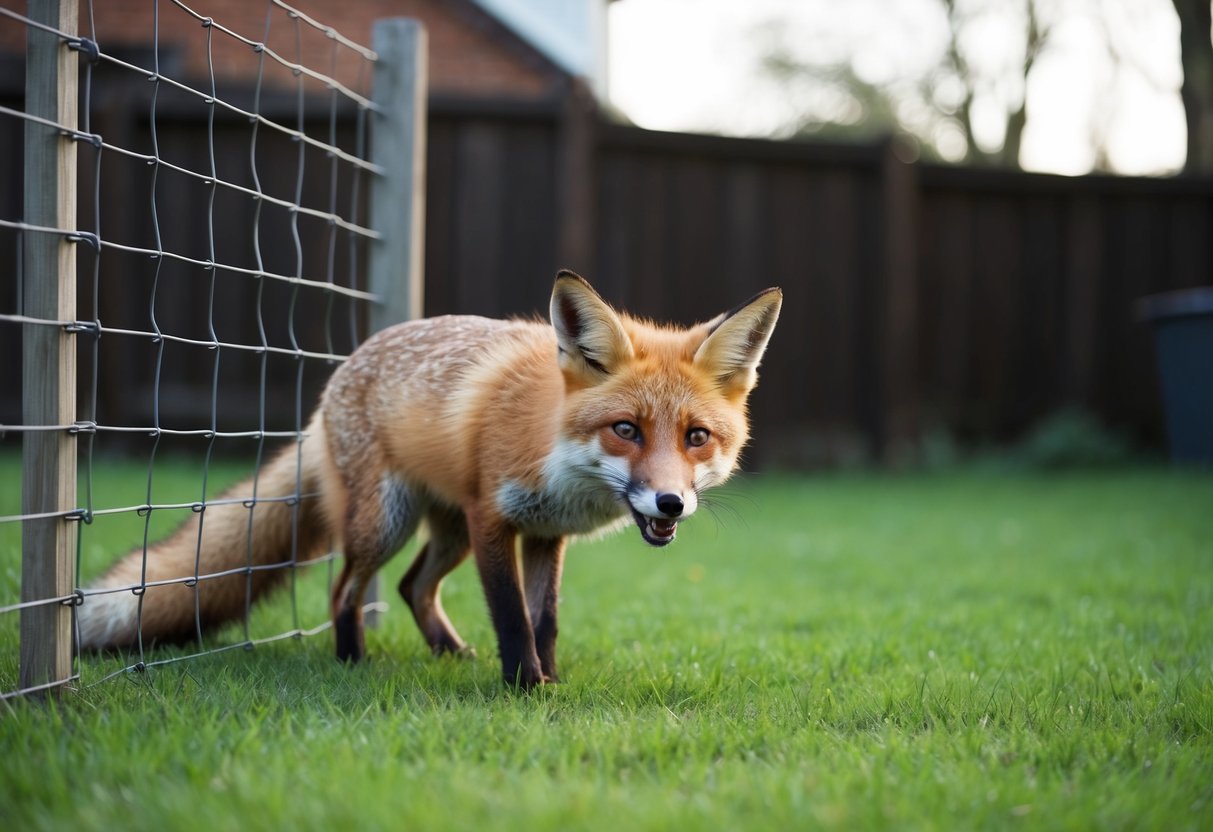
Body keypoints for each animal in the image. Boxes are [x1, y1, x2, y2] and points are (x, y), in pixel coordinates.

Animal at [76, 271, 782, 688]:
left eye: (696, 437)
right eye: (626, 430)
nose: (670, 502)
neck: (552, 448)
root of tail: (332, 386)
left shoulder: (544, 534)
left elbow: (546, 618)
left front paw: (550, 680)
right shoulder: (493, 517)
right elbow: (512, 616)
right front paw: (526, 689)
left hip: (447, 531)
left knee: (413, 586)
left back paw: (448, 653)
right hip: (388, 524)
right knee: (344, 590)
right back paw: (353, 663)